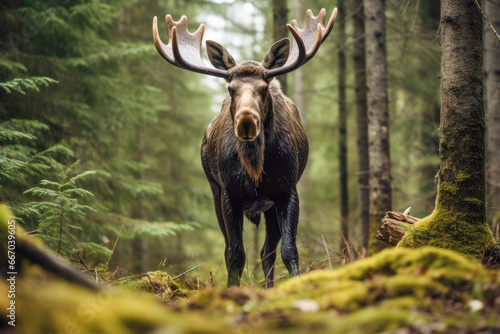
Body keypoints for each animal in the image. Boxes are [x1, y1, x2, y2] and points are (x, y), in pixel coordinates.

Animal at [152, 7, 338, 288]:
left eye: (264, 87)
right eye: (230, 88)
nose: (246, 121)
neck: (255, 166)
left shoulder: (287, 190)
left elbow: (289, 251)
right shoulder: (229, 194)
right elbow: (236, 254)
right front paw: (231, 289)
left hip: (268, 205)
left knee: (266, 251)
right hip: (215, 191)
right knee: (231, 248)